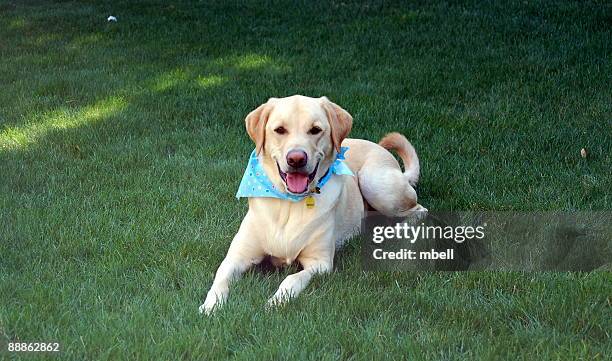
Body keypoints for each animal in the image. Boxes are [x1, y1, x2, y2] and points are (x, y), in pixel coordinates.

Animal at [201, 95, 426, 312]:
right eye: (280, 130)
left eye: (315, 130)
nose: (296, 159)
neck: (289, 204)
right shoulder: (236, 258)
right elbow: (219, 280)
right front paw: (210, 307)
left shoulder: (320, 264)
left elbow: (292, 279)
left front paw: (277, 301)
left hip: (374, 181)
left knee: (419, 210)